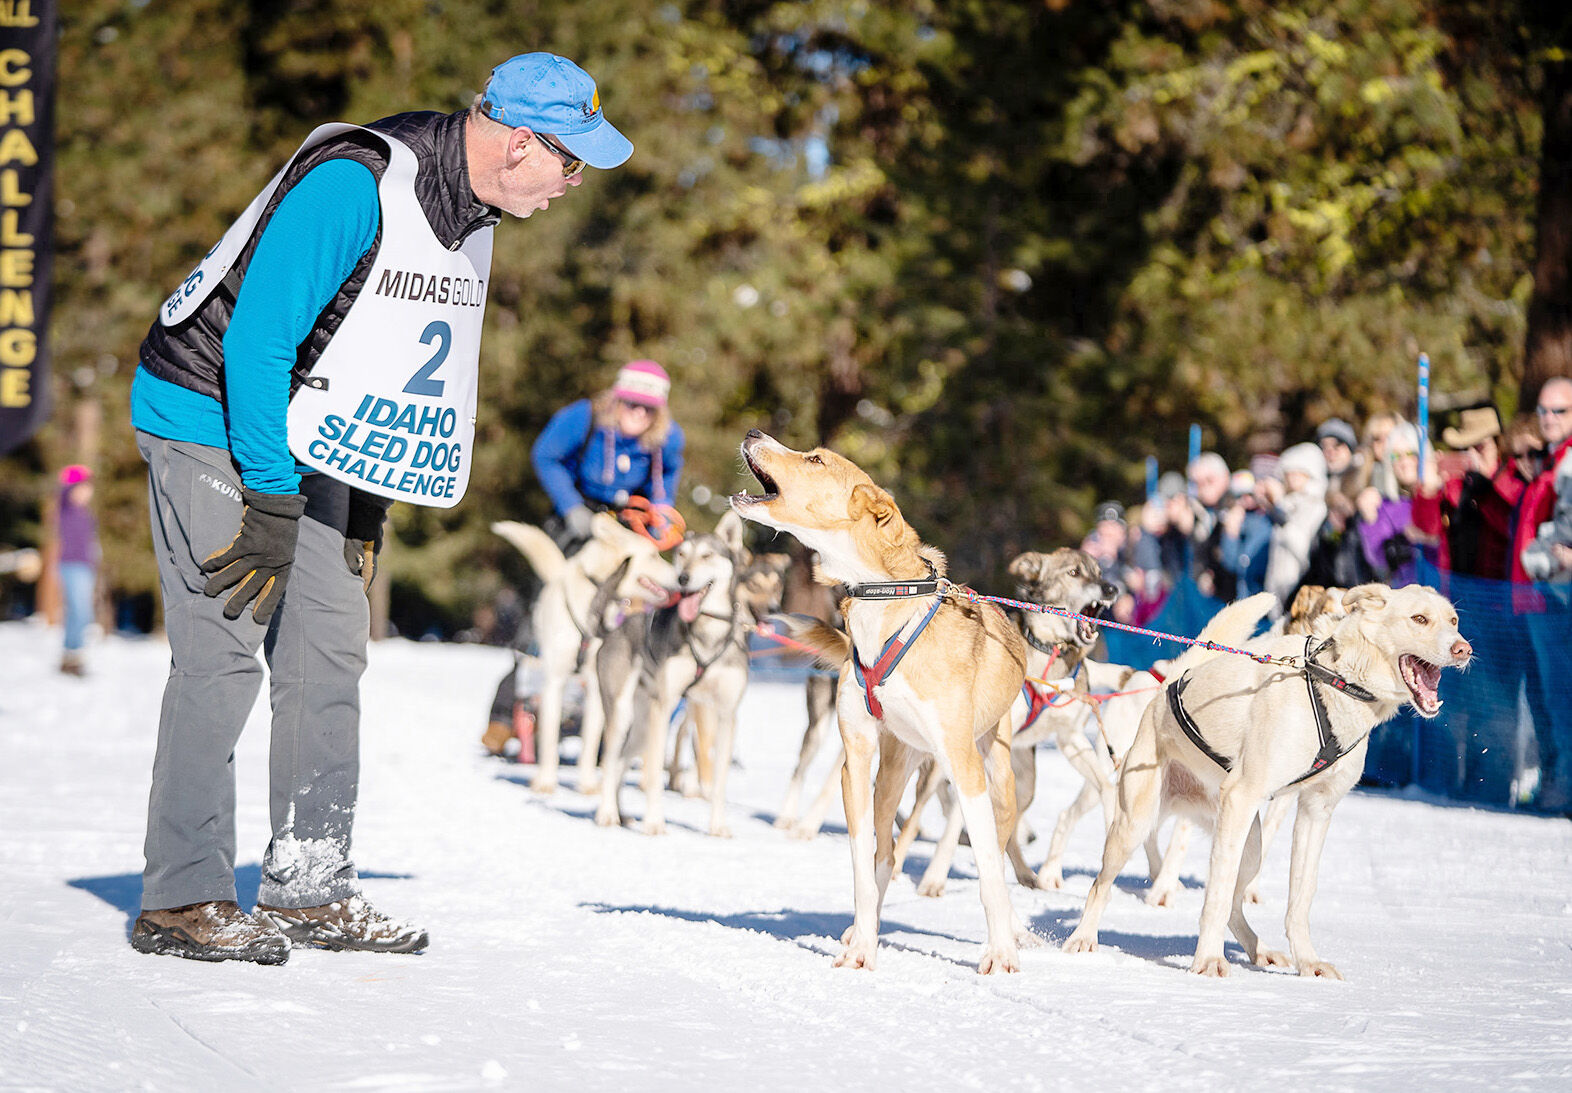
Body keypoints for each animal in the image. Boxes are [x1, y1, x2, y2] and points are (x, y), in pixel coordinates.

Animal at [490, 518, 675, 795]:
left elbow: (589, 741)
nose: (681, 575)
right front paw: (546, 781)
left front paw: (587, 783)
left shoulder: (596, 685)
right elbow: (550, 739)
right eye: (653, 555)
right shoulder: (554, 681)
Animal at [726, 427, 1031, 975]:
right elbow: (863, 866)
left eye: (816, 459)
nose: (754, 431)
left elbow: (988, 869)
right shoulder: (857, 759)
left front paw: (1000, 951)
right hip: (891, 773)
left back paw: (1013, 928)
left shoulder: (964, 768)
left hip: (996, 774)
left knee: (994, 847)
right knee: (885, 853)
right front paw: (863, 946)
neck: (887, 599)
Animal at [1062, 585, 1465, 981]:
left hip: (1250, 846)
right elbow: (1217, 894)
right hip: (1138, 822)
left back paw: (1260, 951)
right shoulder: (1242, 797)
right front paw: (1208, 960)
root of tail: (1166, 688)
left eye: (1454, 620)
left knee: (1235, 905)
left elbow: (1300, 896)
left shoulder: (1316, 809)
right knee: (1102, 885)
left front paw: (1308, 961)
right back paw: (1083, 938)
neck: (1336, 683)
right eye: (1419, 618)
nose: (1464, 649)